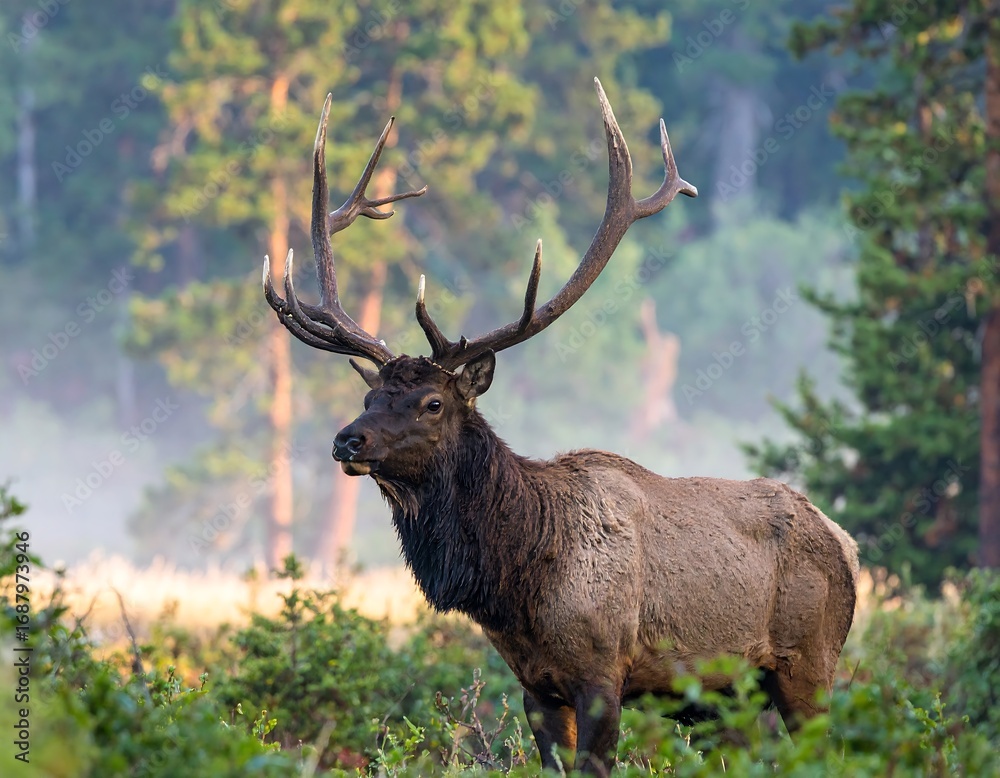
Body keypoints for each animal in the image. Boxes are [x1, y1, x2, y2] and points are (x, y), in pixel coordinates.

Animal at [261, 79, 860, 776]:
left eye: (433, 403)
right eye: (370, 393)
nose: (347, 439)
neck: (517, 583)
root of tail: (846, 542)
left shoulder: (604, 671)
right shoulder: (535, 686)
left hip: (809, 662)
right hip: (731, 696)